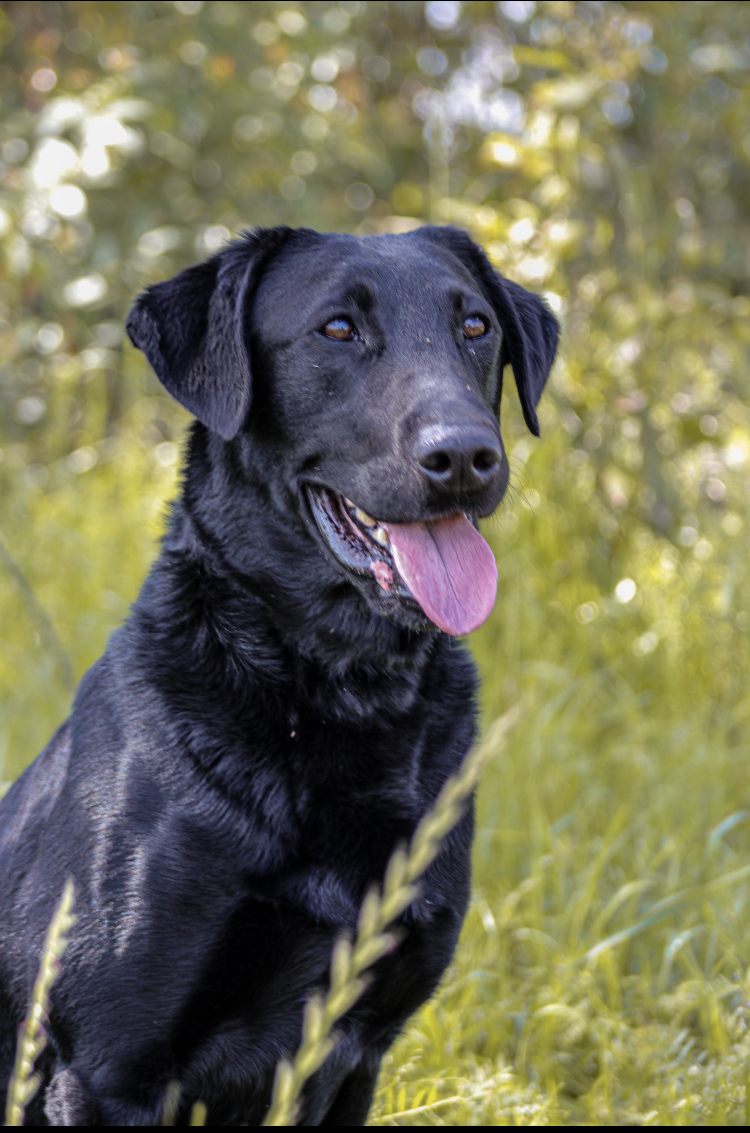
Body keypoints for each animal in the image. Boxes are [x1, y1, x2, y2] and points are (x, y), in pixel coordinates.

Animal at [0, 223, 557, 1123]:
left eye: (476, 327)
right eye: (337, 328)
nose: (467, 454)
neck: (336, 690)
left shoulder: (357, 1048)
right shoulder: (107, 1068)